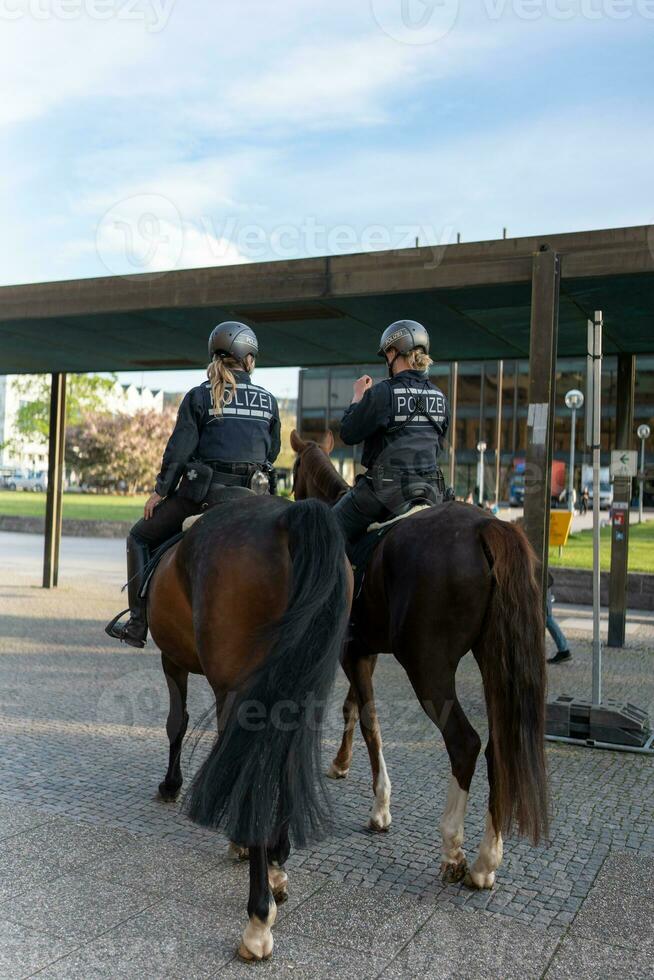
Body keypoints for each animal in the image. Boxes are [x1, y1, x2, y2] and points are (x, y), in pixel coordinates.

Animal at [146, 490, 354, 956]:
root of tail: (289, 518)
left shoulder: (175, 661)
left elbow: (177, 722)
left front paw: (172, 785)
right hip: (299, 686)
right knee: (285, 760)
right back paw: (276, 863)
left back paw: (257, 917)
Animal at [290, 432, 552, 892]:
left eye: (293, 470)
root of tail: (487, 527)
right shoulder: (363, 650)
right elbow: (353, 708)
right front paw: (341, 763)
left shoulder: (351, 651)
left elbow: (369, 721)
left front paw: (380, 807)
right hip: (493, 661)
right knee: (498, 749)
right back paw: (486, 860)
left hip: (427, 666)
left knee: (465, 744)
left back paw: (453, 849)